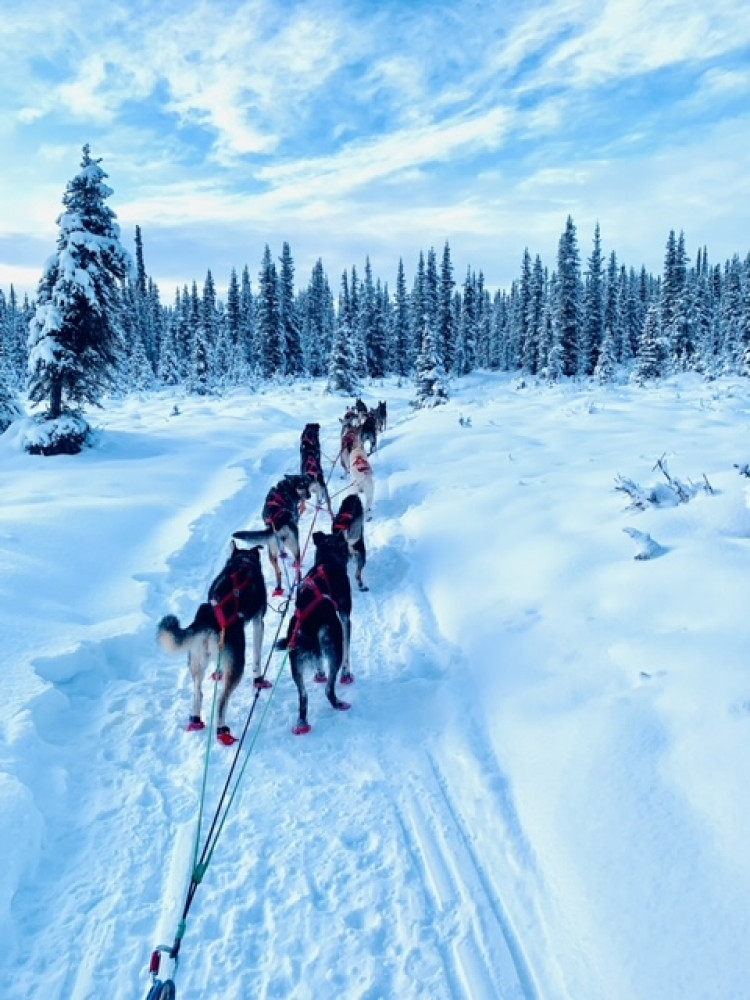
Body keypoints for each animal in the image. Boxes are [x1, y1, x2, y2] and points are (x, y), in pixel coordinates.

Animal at [157, 544, 268, 748]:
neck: (243, 561)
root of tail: (207, 619)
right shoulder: (258, 622)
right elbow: (257, 657)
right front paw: (259, 679)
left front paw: (218, 672)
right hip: (237, 664)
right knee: (221, 702)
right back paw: (222, 731)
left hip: (197, 662)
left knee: (198, 693)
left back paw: (195, 720)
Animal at [280, 532, 356, 736]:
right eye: (345, 545)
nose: (351, 553)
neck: (326, 560)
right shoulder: (345, 619)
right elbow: (348, 652)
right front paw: (347, 674)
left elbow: (319, 662)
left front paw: (319, 673)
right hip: (334, 646)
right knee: (329, 689)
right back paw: (339, 703)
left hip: (296, 667)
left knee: (303, 697)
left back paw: (302, 723)